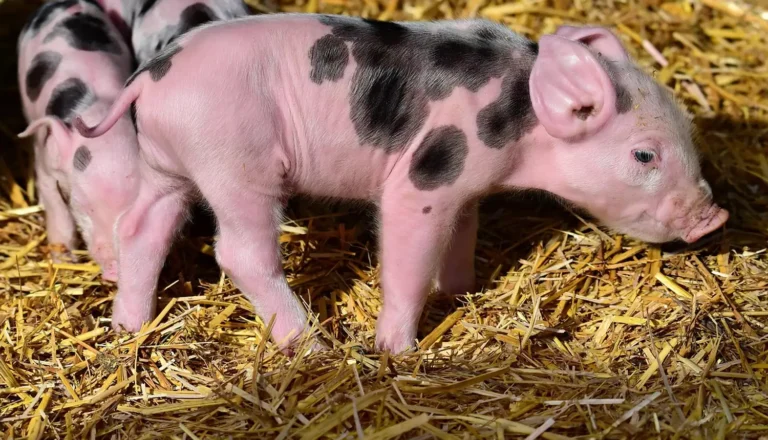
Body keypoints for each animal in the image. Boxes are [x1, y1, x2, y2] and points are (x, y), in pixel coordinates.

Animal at [73, 14, 729, 353]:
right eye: (644, 154)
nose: (713, 218)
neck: (519, 124)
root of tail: (148, 77)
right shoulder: (426, 177)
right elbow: (407, 256)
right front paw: (397, 350)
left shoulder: (467, 185)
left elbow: (462, 238)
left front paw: (462, 293)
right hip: (234, 163)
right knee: (239, 252)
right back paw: (312, 347)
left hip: (168, 166)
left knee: (141, 227)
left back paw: (127, 327)